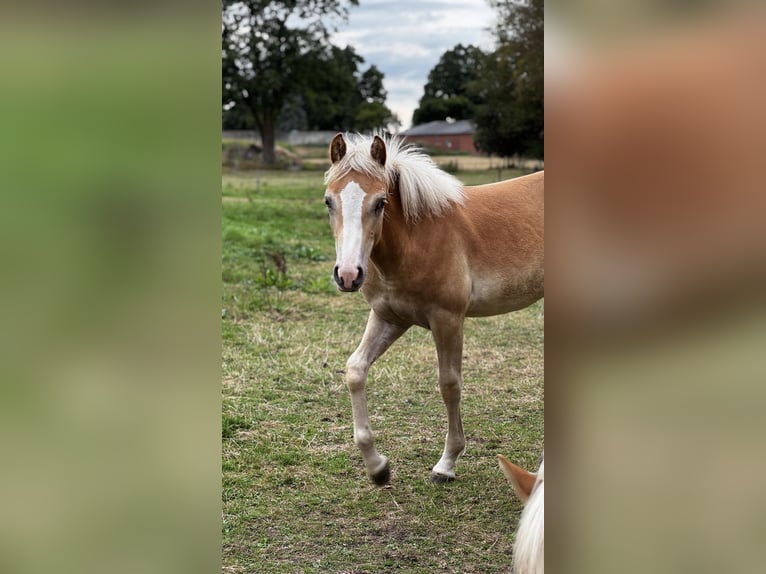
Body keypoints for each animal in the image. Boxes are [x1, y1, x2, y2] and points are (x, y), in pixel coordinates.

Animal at [323, 132, 544, 484]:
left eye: (381, 202)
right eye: (329, 201)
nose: (347, 274)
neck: (416, 239)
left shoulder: (448, 319)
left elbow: (449, 384)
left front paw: (447, 463)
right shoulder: (389, 318)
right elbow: (355, 370)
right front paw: (378, 467)